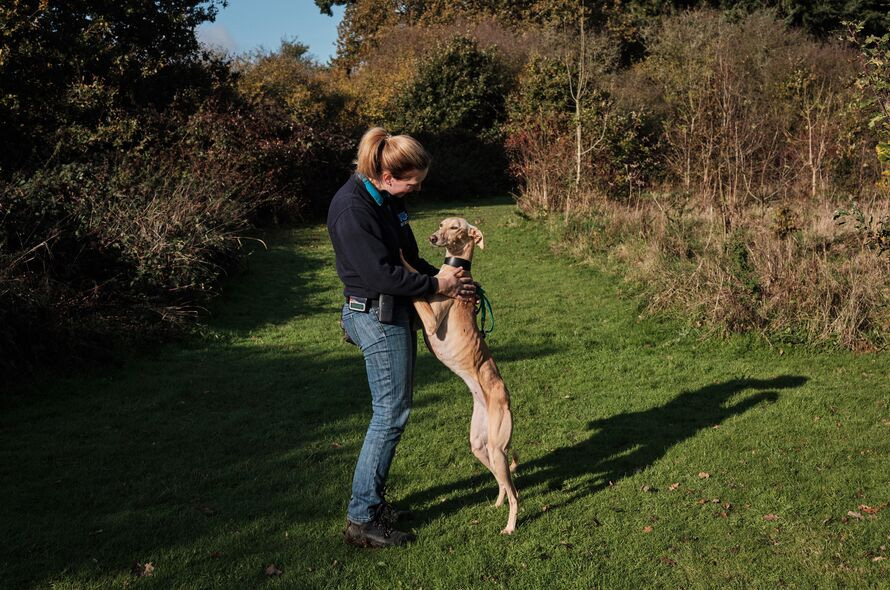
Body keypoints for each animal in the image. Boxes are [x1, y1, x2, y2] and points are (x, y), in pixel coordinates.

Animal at [398, 217, 516, 536]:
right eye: (441, 224)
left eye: (455, 228)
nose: (432, 237)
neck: (455, 269)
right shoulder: (419, 324)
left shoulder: (428, 320)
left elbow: (415, 286)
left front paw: (400, 257)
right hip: (481, 445)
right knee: (503, 483)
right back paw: (497, 503)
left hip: (498, 448)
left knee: (515, 492)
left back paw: (511, 526)